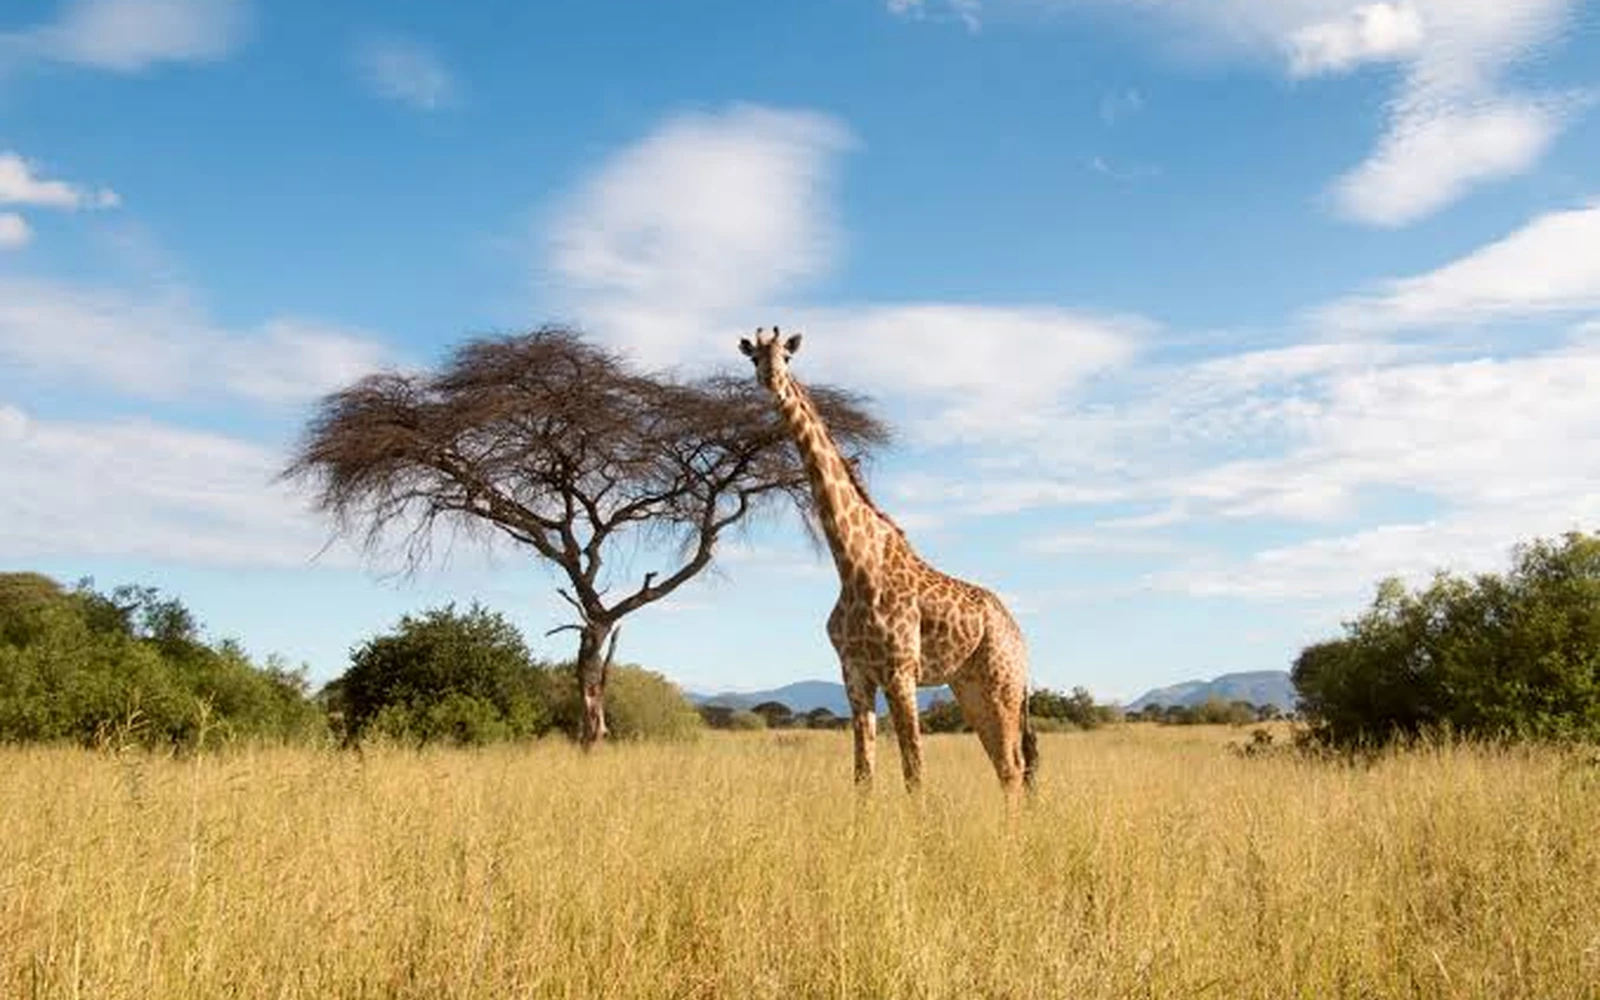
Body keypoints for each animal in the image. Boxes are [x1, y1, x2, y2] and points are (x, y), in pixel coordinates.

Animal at [739, 326, 1038, 794]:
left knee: (1013, 767)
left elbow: (914, 771)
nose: (771, 379)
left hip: (1002, 683)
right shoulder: (855, 673)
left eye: (786, 355)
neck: (853, 566)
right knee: (1007, 767)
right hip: (968, 685)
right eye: (754, 357)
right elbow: (863, 774)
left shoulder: (900, 671)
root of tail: (1021, 639)